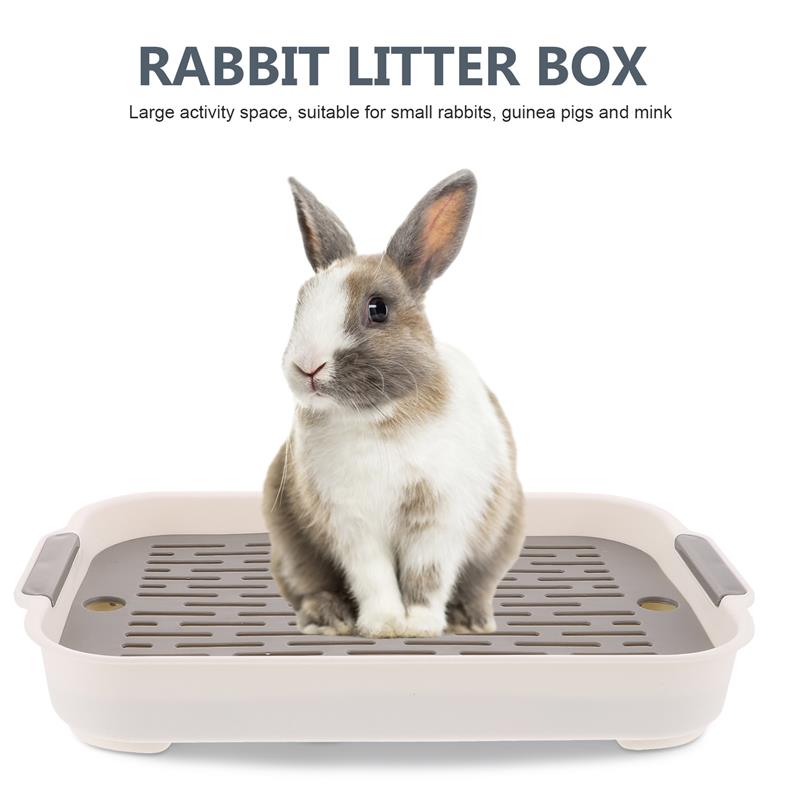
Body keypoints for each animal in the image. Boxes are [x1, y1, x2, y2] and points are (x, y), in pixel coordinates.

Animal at [263, 169, 524, 638]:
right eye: (301, 302)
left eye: (378, 308)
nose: (307, 367)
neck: (377, 419)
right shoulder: (353, 526)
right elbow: (374, 577)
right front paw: (384, 625)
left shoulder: (439, 520)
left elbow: (427, 577)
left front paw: (418, 626)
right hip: (290, 548)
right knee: (309, 586)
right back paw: (329, 619)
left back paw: (471, 621)